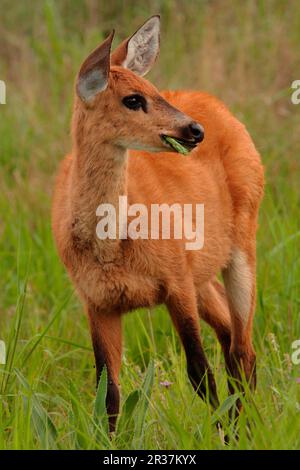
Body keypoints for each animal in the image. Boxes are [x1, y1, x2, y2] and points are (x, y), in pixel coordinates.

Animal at [52, 14, 264, 434]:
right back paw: (242, 425)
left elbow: (199, 371)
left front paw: (217, 435)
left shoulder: (175, 282)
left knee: (243, 348)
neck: (111, 245)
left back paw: (249, 429)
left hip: (241, 247)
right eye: (133, 99)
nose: (194, 131)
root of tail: (216, 104)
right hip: (202, 276)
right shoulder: (97, 302)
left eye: (152, 90)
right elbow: (108, 394)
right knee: (230, 335)